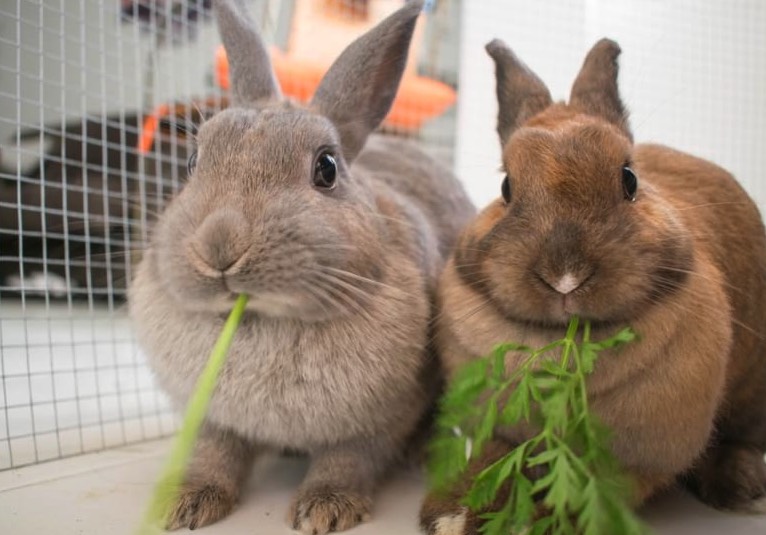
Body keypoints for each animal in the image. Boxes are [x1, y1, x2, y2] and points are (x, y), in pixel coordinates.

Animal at [130, 0, 476, 532]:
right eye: (192, 163)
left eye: (326, 169)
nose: (220, 247)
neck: (262, 319)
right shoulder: (211, 417)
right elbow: (213, 453)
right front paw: (185, 503)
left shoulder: (377, 421)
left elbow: (348, 459)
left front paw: (324, 509)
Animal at [420, 36, 766, 532]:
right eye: (506, 188)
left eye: (629, 179)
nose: (565, 276)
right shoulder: (497, 426)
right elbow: (491, 458)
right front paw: (453, 512)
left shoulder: (634, 462)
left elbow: (588, 492)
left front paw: (531, 520)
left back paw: (738, 486)